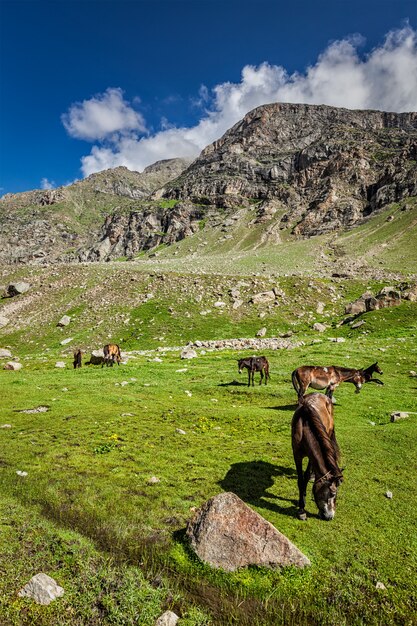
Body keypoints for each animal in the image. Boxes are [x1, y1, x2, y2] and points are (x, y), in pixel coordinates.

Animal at [290, 392, 342, 520]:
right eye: (332, 494)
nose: (330, 516)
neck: (304, 426)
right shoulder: (297, 455)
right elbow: (301, 480)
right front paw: (301, 509)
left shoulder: (310, 456)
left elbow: (307, 475)